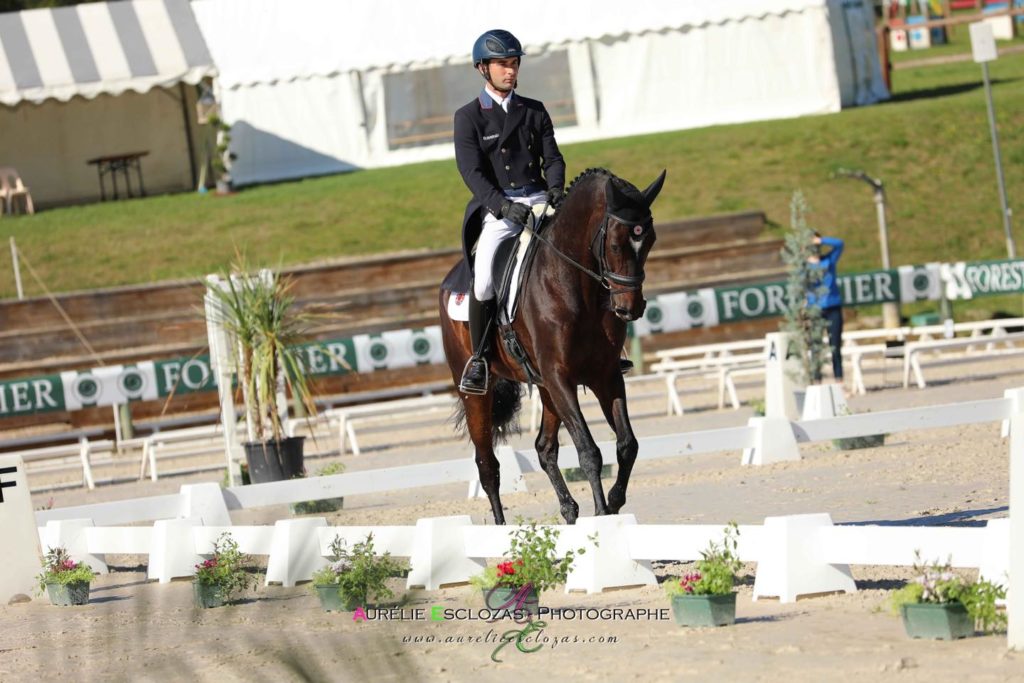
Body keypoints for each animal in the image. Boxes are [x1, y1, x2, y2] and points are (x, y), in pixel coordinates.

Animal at [438, 167, 663, 528]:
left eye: (651, 241)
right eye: (615, 244)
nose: (631, 308)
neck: (575, 284)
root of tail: (451, 279)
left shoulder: (605, 375)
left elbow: (627, 444)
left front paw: (614, 503)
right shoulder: (560, 378)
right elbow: (588, 450)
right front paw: (602, 513)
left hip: (545, 387)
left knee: (544, 448)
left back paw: (569, 511)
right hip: (477, 394)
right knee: (487, 466)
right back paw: (501, 529)